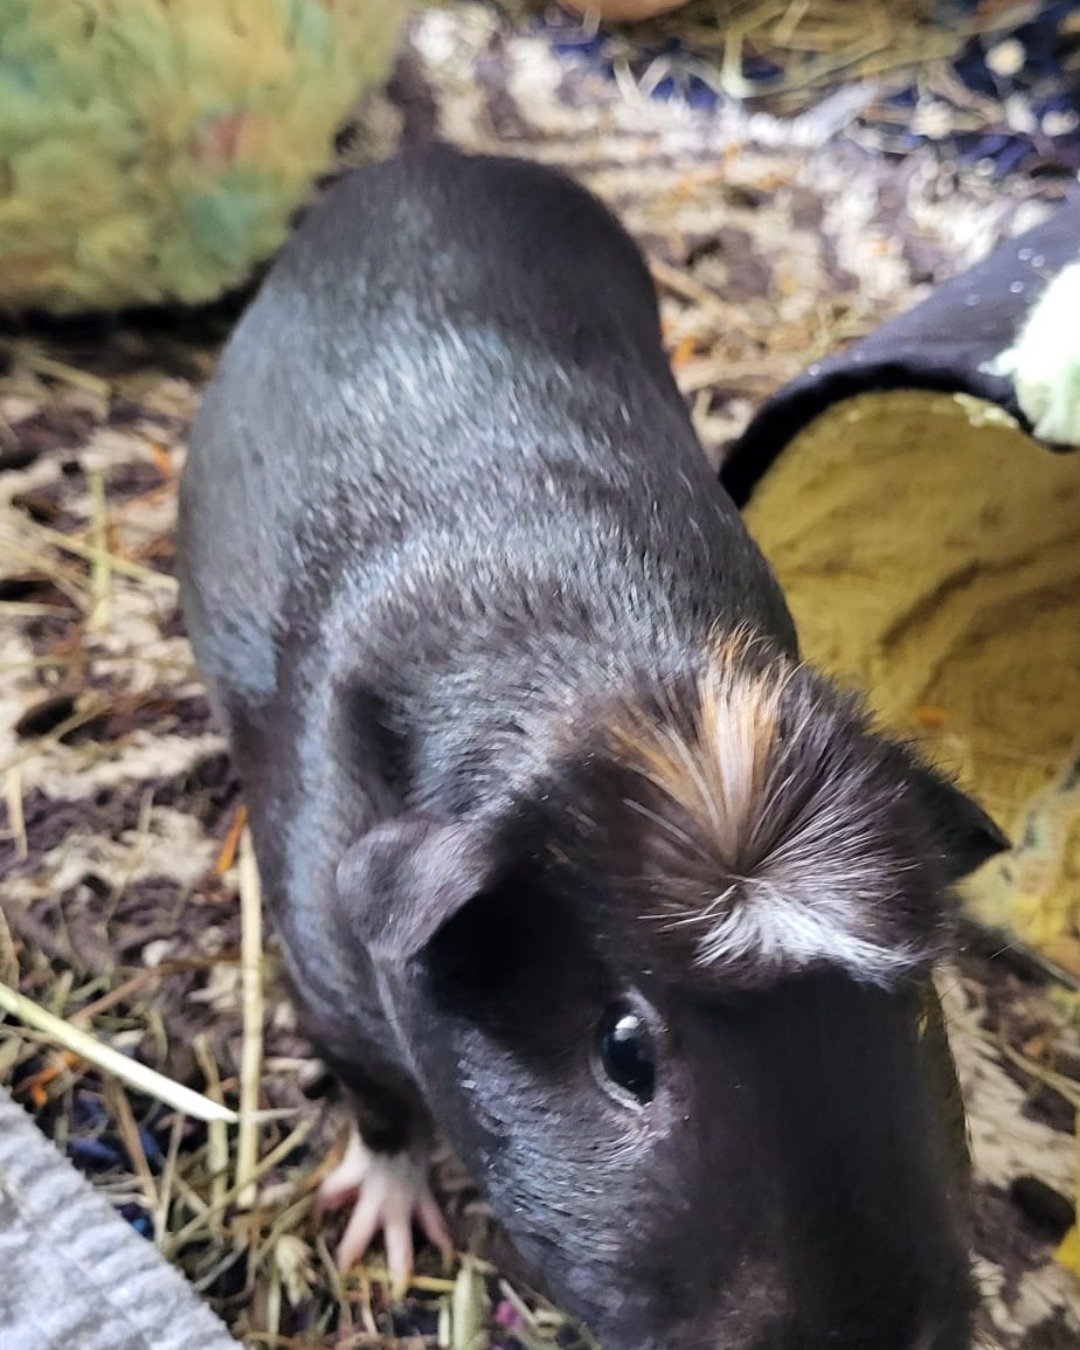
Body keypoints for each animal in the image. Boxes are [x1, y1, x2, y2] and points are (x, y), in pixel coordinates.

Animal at [177, 145, 1006, 1350]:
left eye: (910, 1014)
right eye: (625, 1050)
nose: (876, 1325)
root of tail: (443, 164)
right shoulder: (323, 970)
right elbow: (376, 1105)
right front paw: (385, 1233)